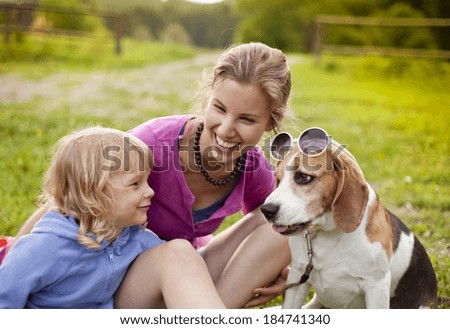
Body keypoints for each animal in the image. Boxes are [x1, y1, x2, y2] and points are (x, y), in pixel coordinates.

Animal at [262, 127, 438, 308]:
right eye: (278, 179)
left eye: (303, 177)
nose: (266, 210)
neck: (326, 236)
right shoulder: (297, 277)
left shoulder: (376, 285)